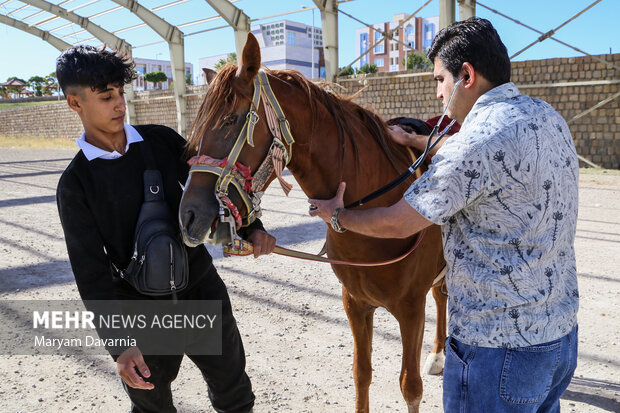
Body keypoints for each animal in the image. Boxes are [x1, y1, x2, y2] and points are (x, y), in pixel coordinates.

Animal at [179, 33, 446, 410]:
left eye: (230, 120)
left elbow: (410, 387)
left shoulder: (411, 310)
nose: (189, 214)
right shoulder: (355, 304)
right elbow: (361, 374)